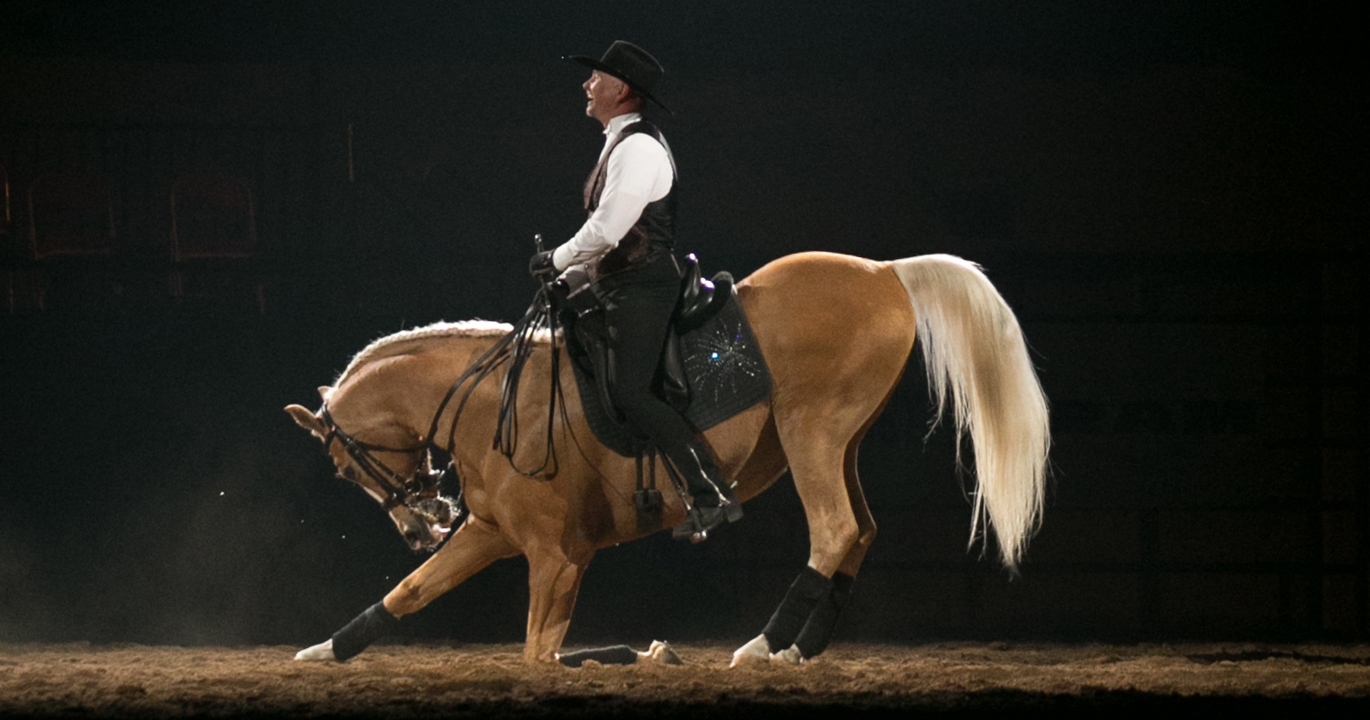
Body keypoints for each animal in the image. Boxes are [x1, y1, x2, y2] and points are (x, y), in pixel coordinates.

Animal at [284, 251, 1050, 665]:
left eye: (342, 468)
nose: (422, 524)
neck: (490, 403)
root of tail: (883, 272)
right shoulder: (491, 533)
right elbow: (412, 592)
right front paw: (324, 651)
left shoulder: (555, 556)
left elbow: (537, 654)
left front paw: (636, 657)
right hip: (844, 442)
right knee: (860, 531)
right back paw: (797, 650)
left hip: (812, 433)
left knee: (833, 530)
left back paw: (760, 647)